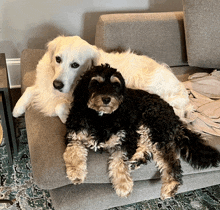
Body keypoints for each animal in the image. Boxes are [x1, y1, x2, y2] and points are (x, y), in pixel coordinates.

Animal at [12, 35, 191, 122]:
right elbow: (31, 89)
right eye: (57, 59)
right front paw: (17, 108)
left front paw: (64, 117)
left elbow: (58, 106)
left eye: (75, 65)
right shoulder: (45, 87)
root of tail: (180, 87)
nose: (57, 85)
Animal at [63, 63, 220, 199]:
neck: (101, 117)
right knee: (150, 148)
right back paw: (136, 160)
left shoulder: (125, 138)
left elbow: (119, 162)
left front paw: (123, 185)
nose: (107, 99)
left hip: (152, 123)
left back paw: (171, 184)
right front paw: (76, 173)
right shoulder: (74, 134)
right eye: (95, 83)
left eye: (115, 85)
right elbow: (73, 152)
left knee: (169, 157)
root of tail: (174, 116)